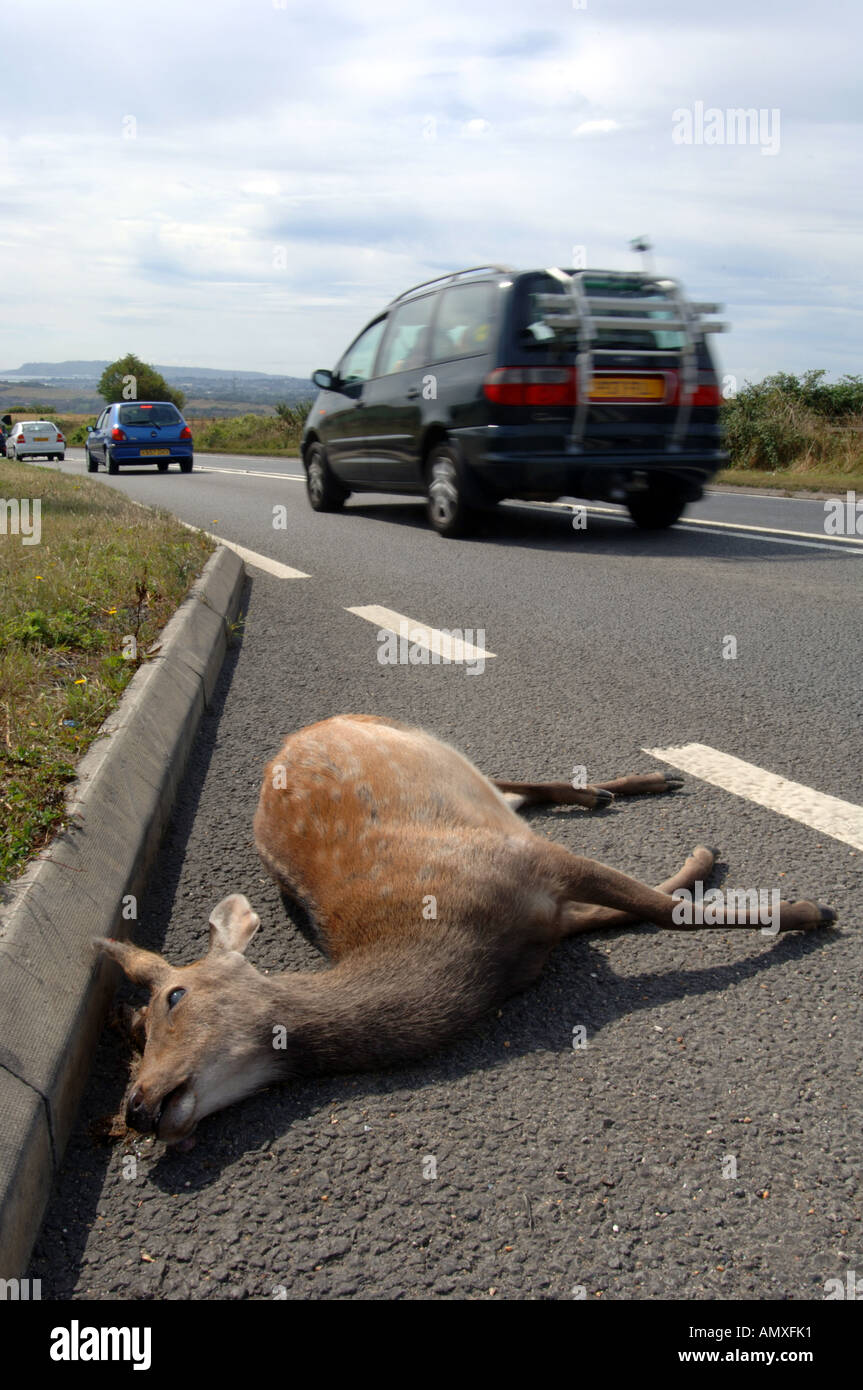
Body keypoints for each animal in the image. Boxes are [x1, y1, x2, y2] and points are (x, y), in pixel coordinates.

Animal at [94, 711, 833, 1145]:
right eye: (134, 1036)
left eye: (173, 996)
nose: (135, 1107)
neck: (466, 953)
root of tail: (303, 729)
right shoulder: (549, 920)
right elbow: (643, 908)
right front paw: (717, 873)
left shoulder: (533, 863)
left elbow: (659, 909)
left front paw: (802, 910)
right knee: (516, 794)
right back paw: (617, 790)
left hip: (432, 746)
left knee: (511, 778)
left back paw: (639, 782)